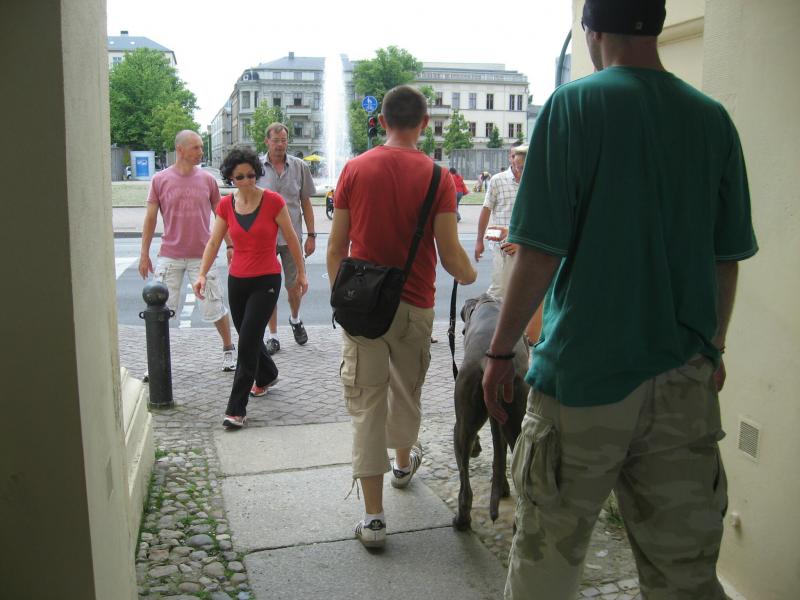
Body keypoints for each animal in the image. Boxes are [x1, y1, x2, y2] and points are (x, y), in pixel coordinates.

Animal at [452, 294, 529, 531]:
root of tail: (487, 362)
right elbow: (499, 455)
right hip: (514, 417)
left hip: (464, 422)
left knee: (464, 483)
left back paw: (462, 520)